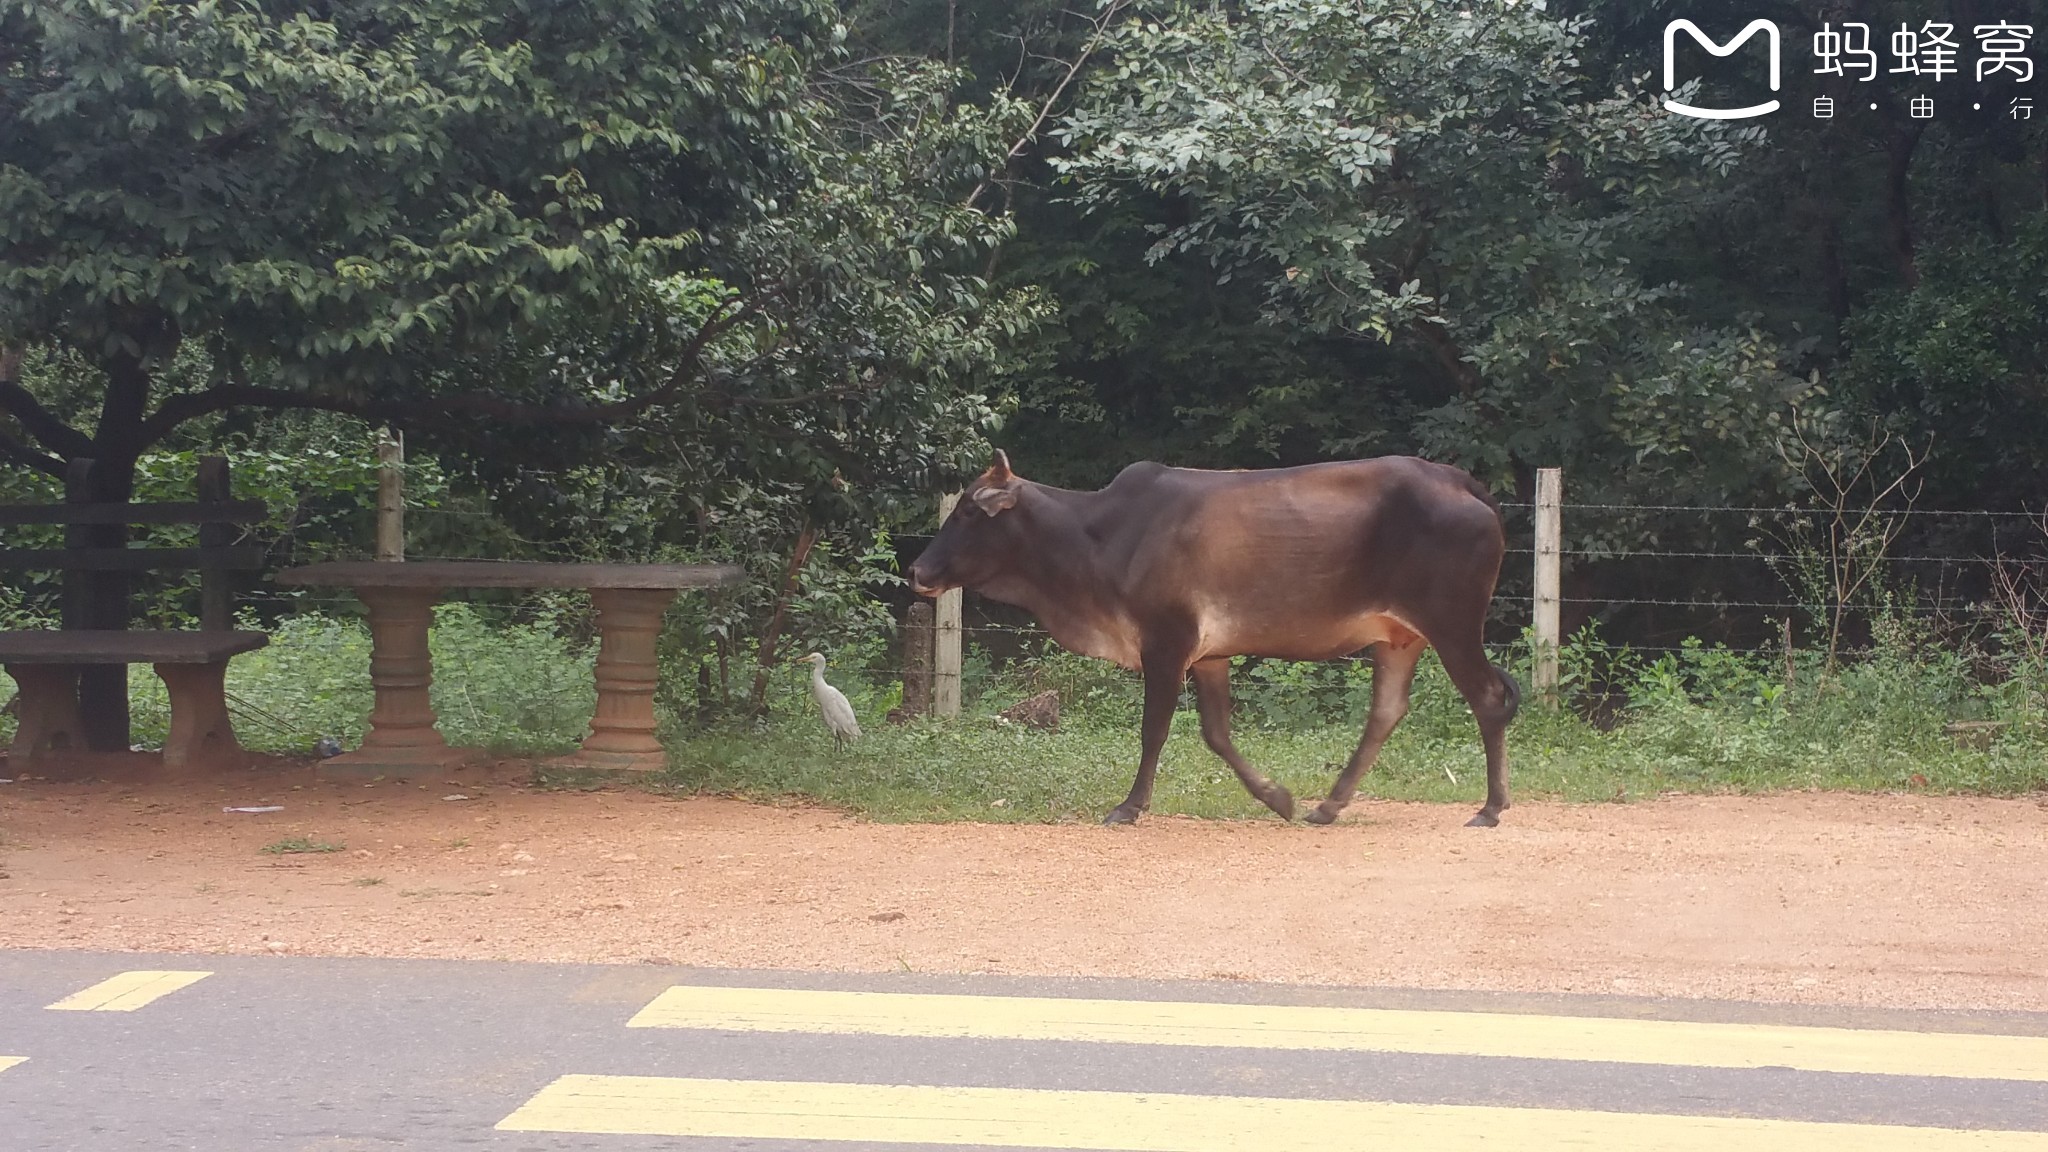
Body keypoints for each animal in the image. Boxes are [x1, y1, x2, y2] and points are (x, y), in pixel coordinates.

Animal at [913, 448, 1523, 824]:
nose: (919, 570)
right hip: (1399, 638)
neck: (1098, 538)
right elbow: (1216, 733)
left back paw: (1491, 808)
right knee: (1387, 712)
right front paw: (1277, 798)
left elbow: (1154, 732)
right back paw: (1327, 807)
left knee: (1487, 699)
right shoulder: (1208, 655)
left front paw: (1129, 807)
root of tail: (1458, 479)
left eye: (969, 512)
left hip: (1452, 624)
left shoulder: (1166, 644)